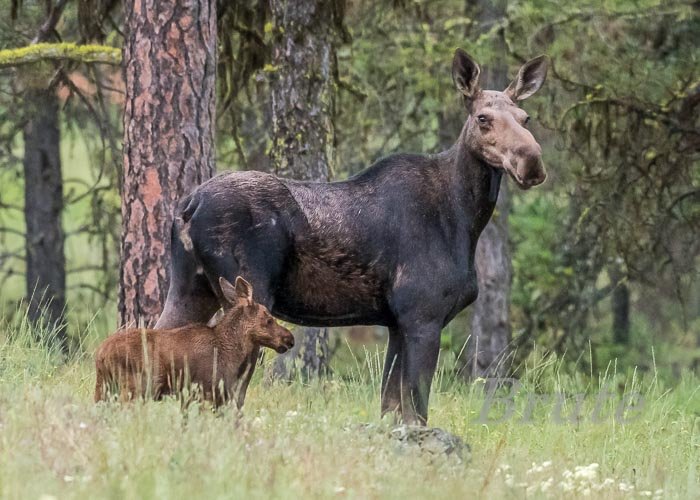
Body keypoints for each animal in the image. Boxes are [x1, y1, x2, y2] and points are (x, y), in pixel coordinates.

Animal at [94, 276, 294, 408]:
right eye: (269, 319)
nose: (289, 338)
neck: (231, 352)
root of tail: (100, 354)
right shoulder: (205, 393)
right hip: (133, 388)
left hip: (103, 388)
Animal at [156, 49, 548, 426]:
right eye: (483, 118)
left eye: (526, 117)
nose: (532, 162)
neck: (465, 219)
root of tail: (188, 206)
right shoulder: (422, 315)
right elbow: (416, 410)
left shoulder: (396, 322)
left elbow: (391, 409)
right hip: (247, 294)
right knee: (229, 393)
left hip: (191, 288)